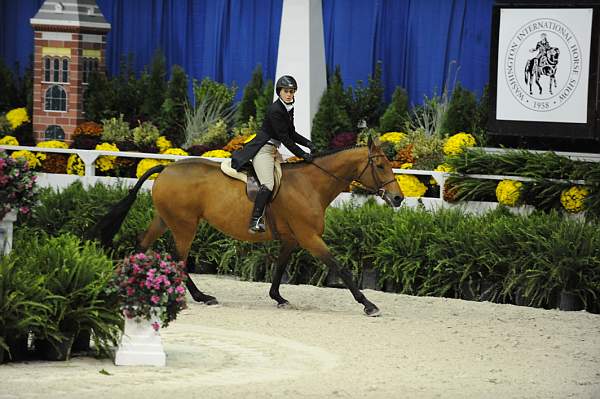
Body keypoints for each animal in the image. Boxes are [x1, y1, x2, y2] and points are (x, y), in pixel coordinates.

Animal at [90, 136, 404, 318]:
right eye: (380, 166)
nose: (398, 198)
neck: (311, 184)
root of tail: (166, 168)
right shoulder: (310, 237)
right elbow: (340, 268)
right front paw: (368, 304)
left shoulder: (292, 238)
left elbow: (279, 268)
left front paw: (278, 297)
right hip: (185, 225)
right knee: (178, 259)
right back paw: (201, 297)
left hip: (165, 219)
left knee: (142, 244)